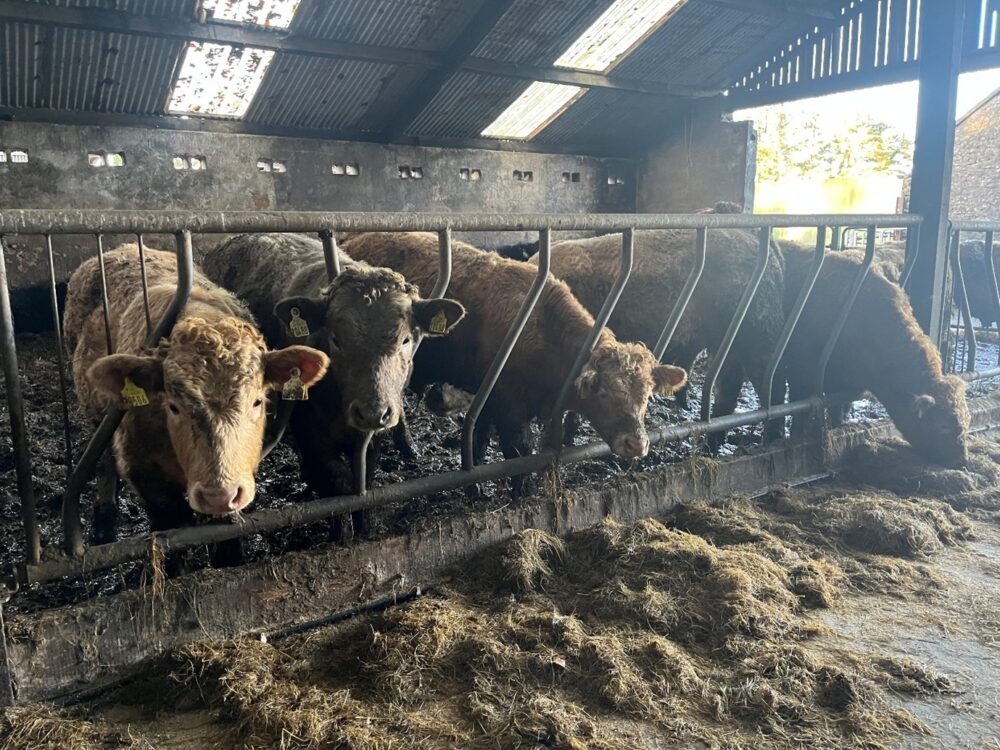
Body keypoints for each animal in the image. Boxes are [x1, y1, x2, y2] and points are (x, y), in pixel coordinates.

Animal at [64, 245, 328, 557]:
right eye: (173, 406)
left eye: (257, 402)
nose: (218, 495)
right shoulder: (148, 479)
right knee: (105, 460)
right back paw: (104, 521)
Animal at [201, 233, 466, 522]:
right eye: (336, 339)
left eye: (406, 339)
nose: (372, 413)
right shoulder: (313, 440)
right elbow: (337, 490)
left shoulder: (369, 443)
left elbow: (363, 488)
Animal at [339, 232, 688, 492]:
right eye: (603, 393)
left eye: (646, 397)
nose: (636, 444)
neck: (543, 329)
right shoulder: (509, 408)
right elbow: (518, 454)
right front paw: (520, 492)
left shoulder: (488, 396)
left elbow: (478, 438)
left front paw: (475, 483)